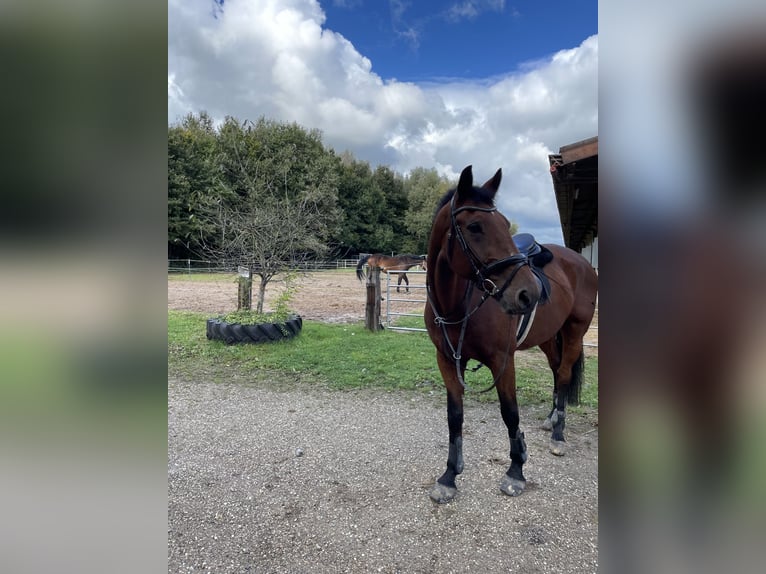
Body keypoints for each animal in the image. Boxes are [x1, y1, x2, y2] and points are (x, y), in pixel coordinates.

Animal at [426, 165, 600, 504]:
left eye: (506, 224)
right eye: (475, 226)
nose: (529, 293)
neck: (458, 304)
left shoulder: (502, 361)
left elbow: (510, 413)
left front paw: (516, 472)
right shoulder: (447, 360)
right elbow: (455, 416)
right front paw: (449, 476)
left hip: (574, 332)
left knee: (563, 373)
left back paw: (558, 434)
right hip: (548, 338)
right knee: (557, 371)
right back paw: (551, 419)